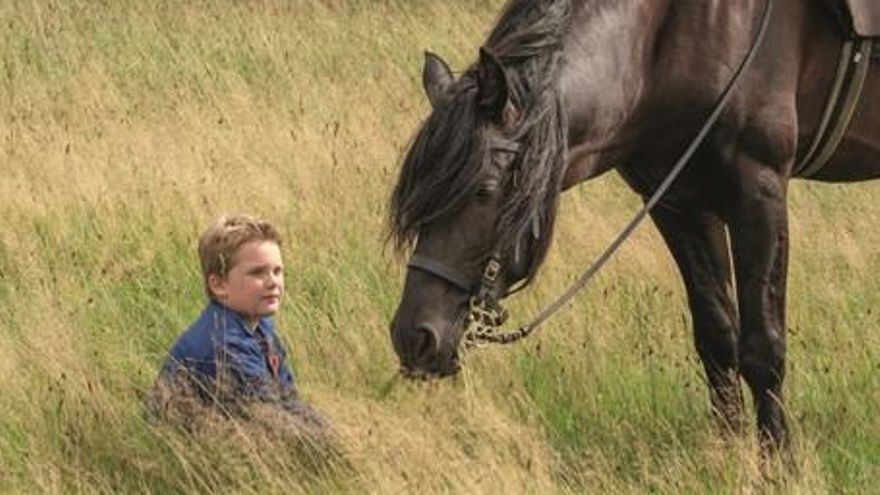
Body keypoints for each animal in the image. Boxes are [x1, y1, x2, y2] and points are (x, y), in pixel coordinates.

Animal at [386, 0, 880, 452]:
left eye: (484, 190)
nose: (415, 336)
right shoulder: (677, 201)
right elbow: (717, 336)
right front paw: (726, 454)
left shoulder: (759, 191)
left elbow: (763, 348)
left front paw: (778, 464)